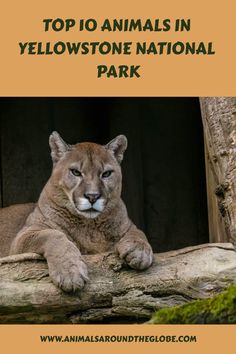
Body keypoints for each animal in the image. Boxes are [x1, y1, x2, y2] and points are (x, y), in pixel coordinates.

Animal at [0, 131, 153, 292]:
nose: (92, 196)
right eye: (76, 172)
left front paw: (140, 252)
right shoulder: (23, 237)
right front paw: (70, 272)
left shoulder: (128, 225)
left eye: (106, 174)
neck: (89, 226)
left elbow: (138, 232)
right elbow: (53, 235)